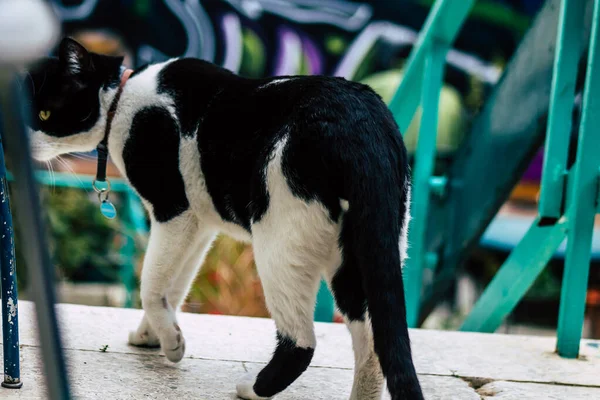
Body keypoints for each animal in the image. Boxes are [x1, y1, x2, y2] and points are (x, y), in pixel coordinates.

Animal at [23, 38, 424, 400]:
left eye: (42, 114)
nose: (21, 139)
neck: (122, 102)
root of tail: (363, 125)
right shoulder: (199, 225)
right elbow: (174, 285)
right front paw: (153, 336)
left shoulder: (173, 212)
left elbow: (150, 285)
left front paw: (171, 345)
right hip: (360, 255)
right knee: (373, 345)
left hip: (280, 244)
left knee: (301, 341)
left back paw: (252, 388)